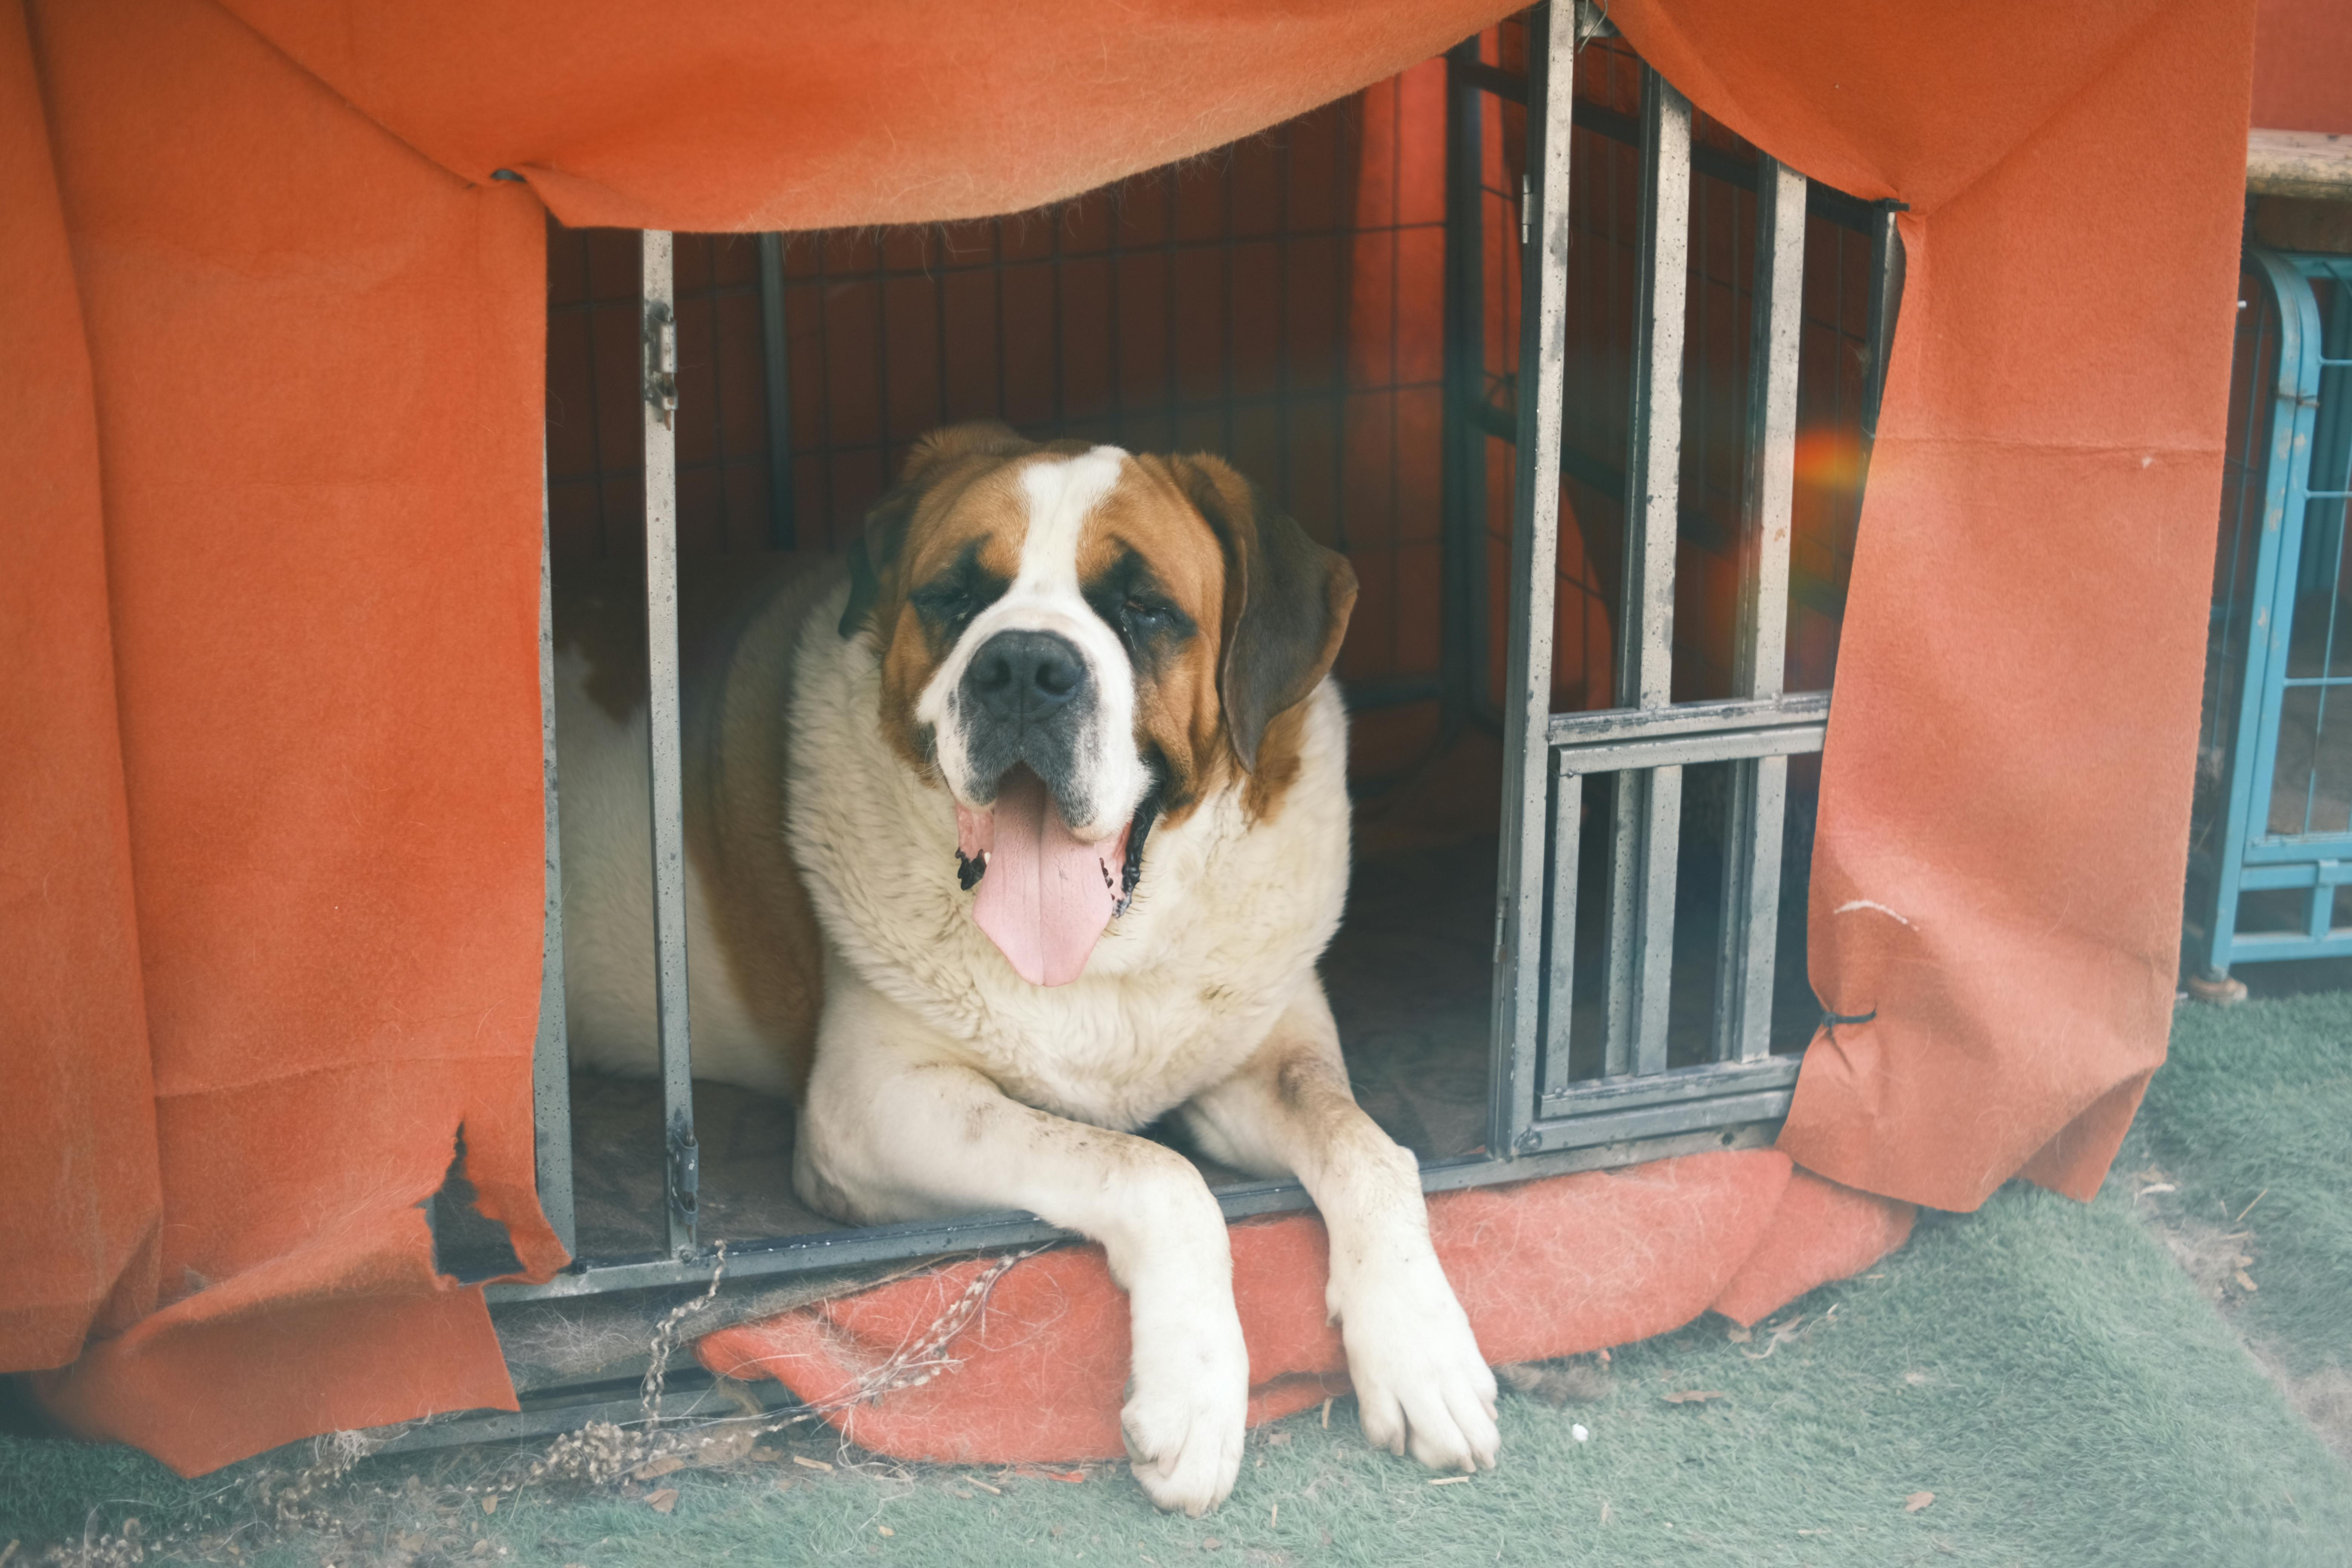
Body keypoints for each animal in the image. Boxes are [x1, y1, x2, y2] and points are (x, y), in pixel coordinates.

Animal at [560, 423, 1496, 1514]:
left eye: (1143, 607)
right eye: (957, 596)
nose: (1023, 666)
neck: (1107, 955)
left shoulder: (1261, 1057)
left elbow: (1367, 1150)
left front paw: (1426, 1352)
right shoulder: (872, 1106)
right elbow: (1154, 1170)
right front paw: (1193, 1395)